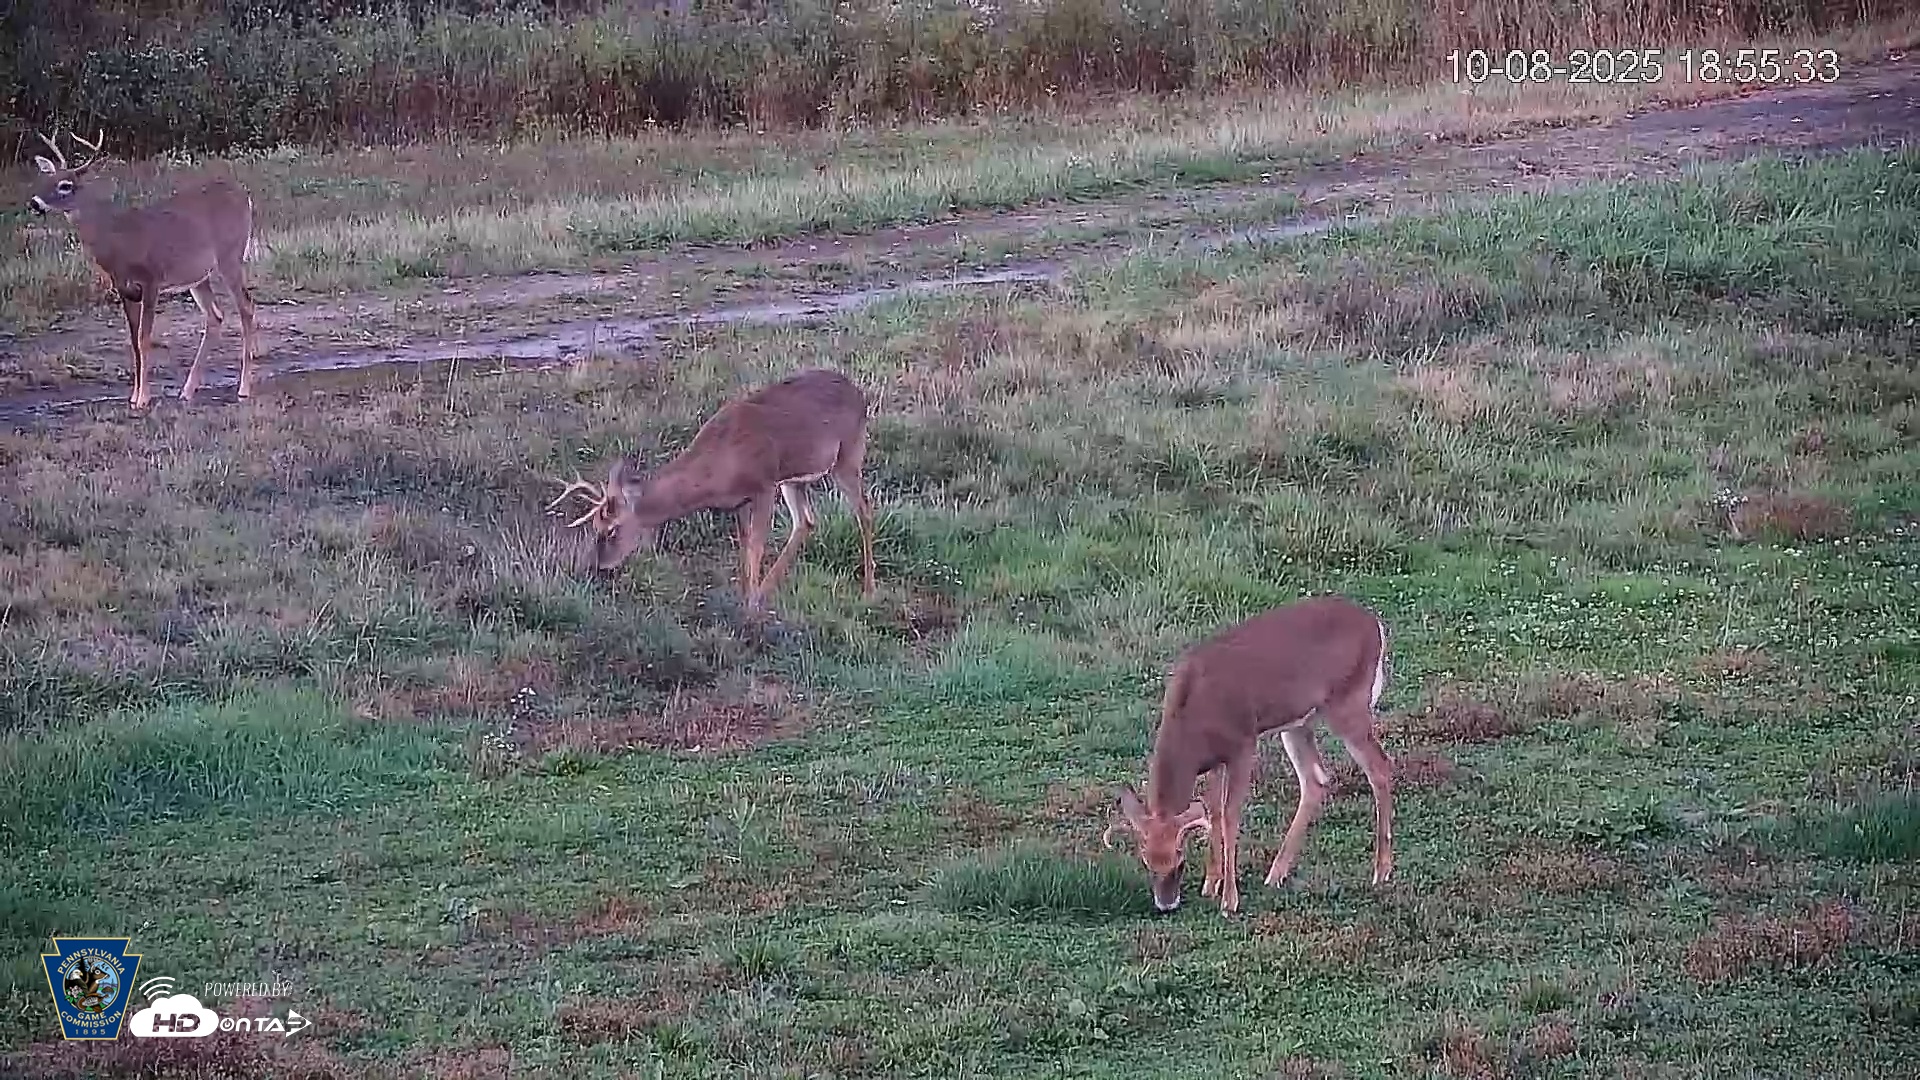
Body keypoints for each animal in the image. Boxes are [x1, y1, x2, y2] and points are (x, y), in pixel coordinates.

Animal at [27, 128, 261, 411]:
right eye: (46, 179)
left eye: (65, 185)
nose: (35, 203)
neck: (118, 239)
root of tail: (245, 196)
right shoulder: (124, 288)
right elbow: (133, 341)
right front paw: (134, 397)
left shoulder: (151, 280)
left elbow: (144, 337)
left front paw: (144, 398)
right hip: (197, 275)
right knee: (215, 315)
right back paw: (187, 390)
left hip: (231, 256)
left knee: (246, 307)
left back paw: (244, 389)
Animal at [545, 367, 878, 616]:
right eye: (594, 525)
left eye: (613, 529)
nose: (596, 568)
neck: (717, 466)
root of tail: (859, 393)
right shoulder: (740, 501)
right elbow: (744, 549)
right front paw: (745, 598)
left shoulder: (763, 485)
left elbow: (756, 548)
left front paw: (751, 608)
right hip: (795, 479)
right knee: (806, 521)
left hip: (848, 455)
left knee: (863, 510)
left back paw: (868, 590)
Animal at [1102, 594, 1395, 917]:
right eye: (1146, 862)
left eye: (1179, 860)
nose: (1167, 904)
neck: (1194, 710)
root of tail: (1374, 623)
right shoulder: (1214, 761)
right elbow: (1213, 811)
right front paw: (1211, 883)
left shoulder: (1243, 745)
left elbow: (1230, 815)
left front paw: (1229, 899)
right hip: (1298, 723)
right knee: (1315, 779)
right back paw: (1276, 874)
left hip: (1348, 704)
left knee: (1380, 767)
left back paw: (1381, 872)